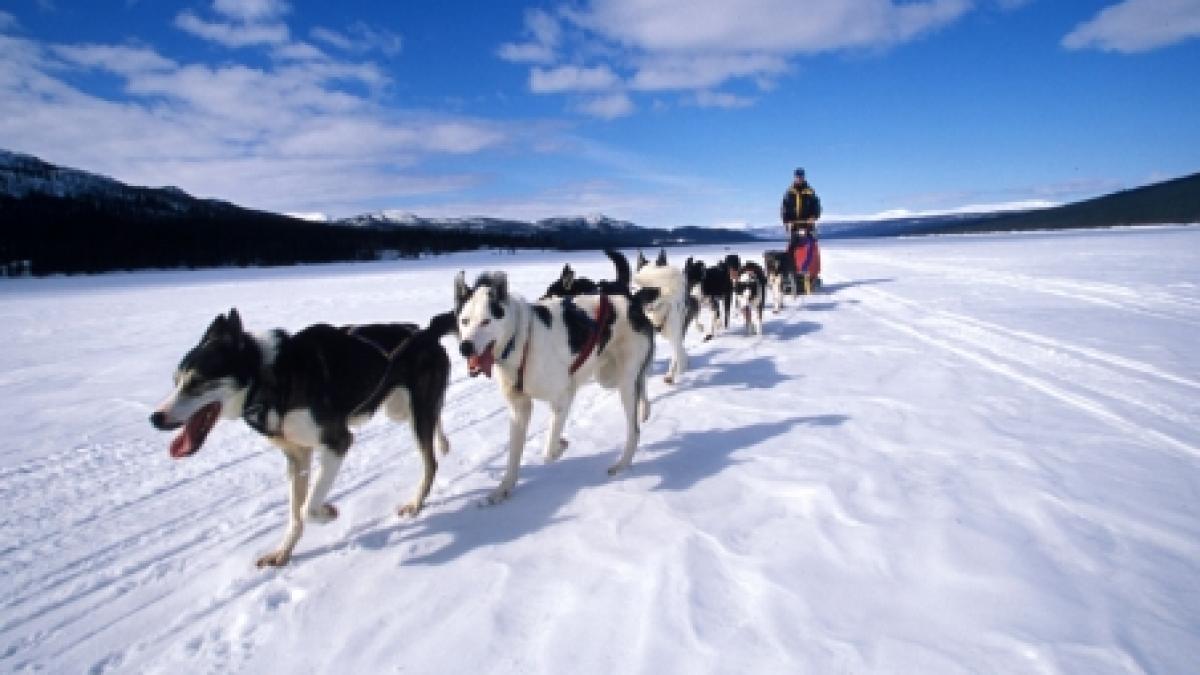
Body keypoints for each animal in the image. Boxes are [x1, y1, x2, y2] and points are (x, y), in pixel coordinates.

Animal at [146, 307, 453, 564]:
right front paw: (282, 553)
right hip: (399, 409)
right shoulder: (297, 457)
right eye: (175, 381)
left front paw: (327, 513)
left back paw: (415, 502)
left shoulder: (337, 443)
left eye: (196, 382)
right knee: (435, 417)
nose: (155, 418)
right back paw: (443, 442)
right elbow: (295, 515)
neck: (272, 377)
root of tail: (425, 332)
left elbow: (307, 508)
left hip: (414, 414)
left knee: (430, 462)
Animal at [451, 266, 657, 499]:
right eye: (464, 321)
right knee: (642, 383)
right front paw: (504, 488)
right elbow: (513, 455)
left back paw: (622, 463)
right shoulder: (519, 408)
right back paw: (645, 408)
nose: (465, 347)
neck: (521, 340)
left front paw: (561, 445)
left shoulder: (562, 397)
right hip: (610, 377)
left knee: (634, 430)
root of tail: (633, 302)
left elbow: (548, 450)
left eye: (486, 321)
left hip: (624, 384)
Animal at [633, 248, 700, 384]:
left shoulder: (675, 333)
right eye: (639, 287)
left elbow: (675, 355)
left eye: (651, 289)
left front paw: (671, 374)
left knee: (678, 349)